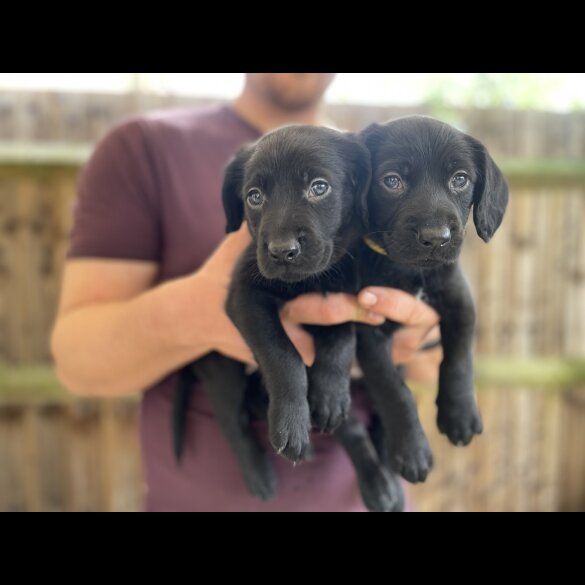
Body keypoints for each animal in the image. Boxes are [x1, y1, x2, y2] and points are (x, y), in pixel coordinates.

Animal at [354, 115, 508, 484]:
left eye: (460, 179)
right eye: (392, 181)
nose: (437, 238)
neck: (412, 272)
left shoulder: (459, 302)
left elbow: (459, 358)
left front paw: (460, 414)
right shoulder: (369, 329)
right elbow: (394, 390)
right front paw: (412, 449)